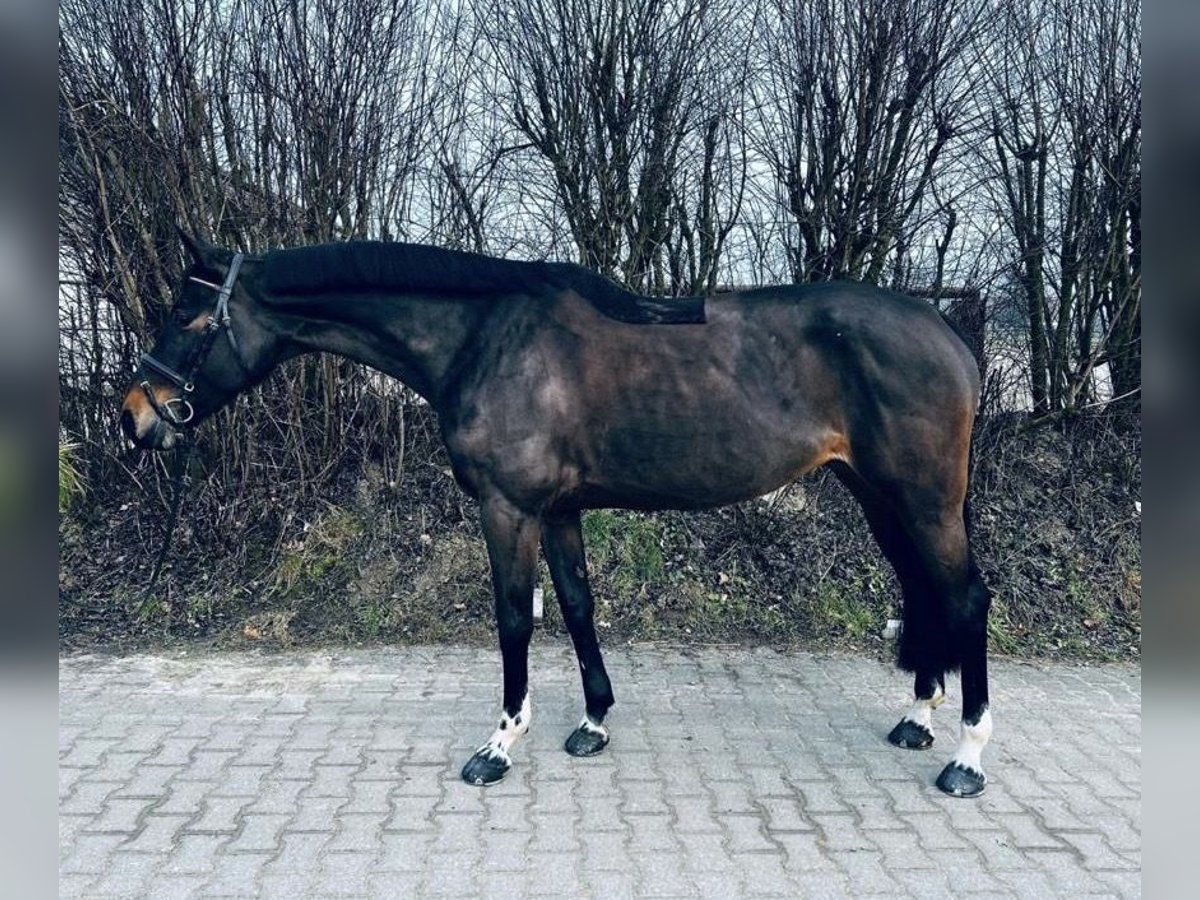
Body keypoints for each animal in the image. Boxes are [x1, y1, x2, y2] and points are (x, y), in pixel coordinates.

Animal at [119, 236, 993, 801]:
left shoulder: (510, 510)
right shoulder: (561, 510)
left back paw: (967, 759)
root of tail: (947, 331)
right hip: (878, 496)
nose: (136, 414)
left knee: (965, 599)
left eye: (192, 320)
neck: (485, 339)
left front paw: (500, 744)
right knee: (922, 592)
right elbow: (575, 608)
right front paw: (592, 723)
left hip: (921, 499)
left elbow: (513, 618)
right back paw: (917, 718)